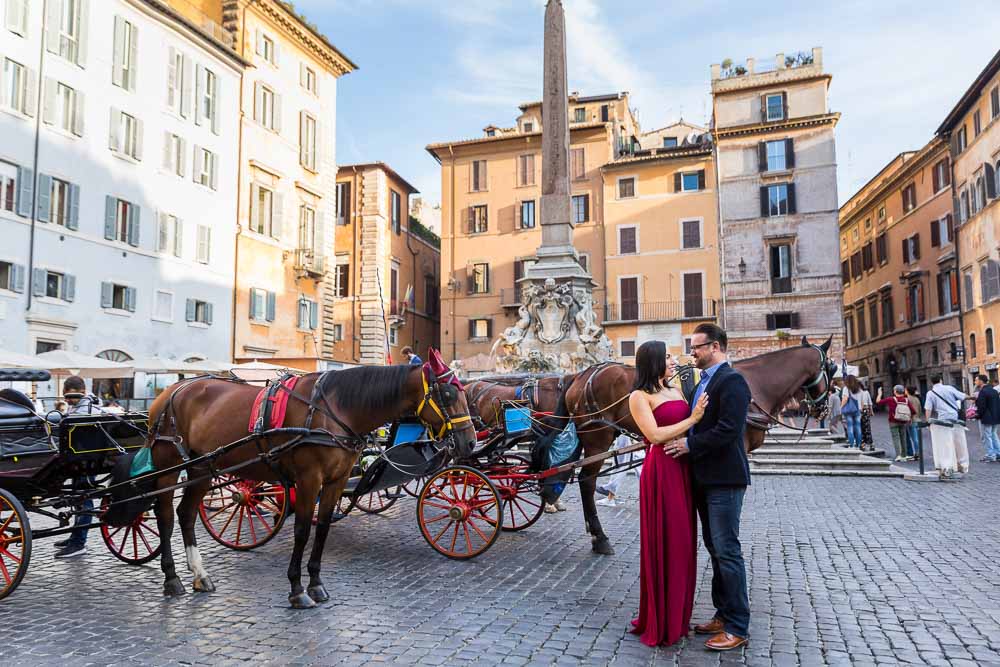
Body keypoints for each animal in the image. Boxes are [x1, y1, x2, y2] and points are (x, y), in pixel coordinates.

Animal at [133, 354, 476, 612]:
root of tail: (172, 390)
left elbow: (321, 528)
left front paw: (316, 584)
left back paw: (199, 574)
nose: (470, 441)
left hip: (203, 466)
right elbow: (301, 530)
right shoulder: (308, 479)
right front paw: (297, 589)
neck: (336, 409)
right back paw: (171, 578)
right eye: (448, 394)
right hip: (169, 465)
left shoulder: (336, 481)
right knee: (165, 515)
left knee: (187, 513)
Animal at [560, 336, 832, 556]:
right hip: (597, 438)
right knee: (586, 481)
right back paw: (599, 537)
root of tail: (581, 375)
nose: (823, 409)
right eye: (832, 367)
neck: (755, 385)